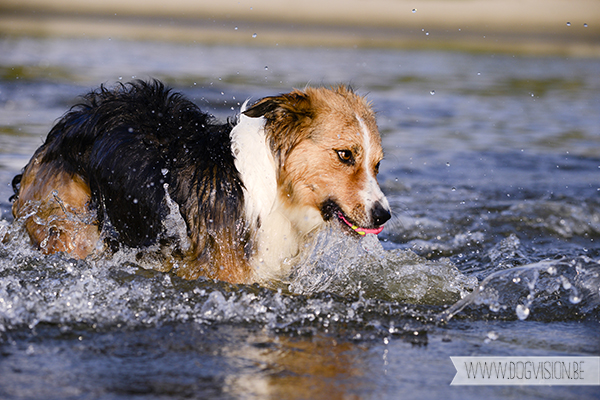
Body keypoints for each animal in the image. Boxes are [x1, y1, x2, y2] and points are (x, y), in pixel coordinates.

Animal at [11, 79, 394, 282]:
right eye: (345, 155)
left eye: (377, 164)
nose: (383, 215)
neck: (274, 193)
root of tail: (70, 121)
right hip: (72, 228)